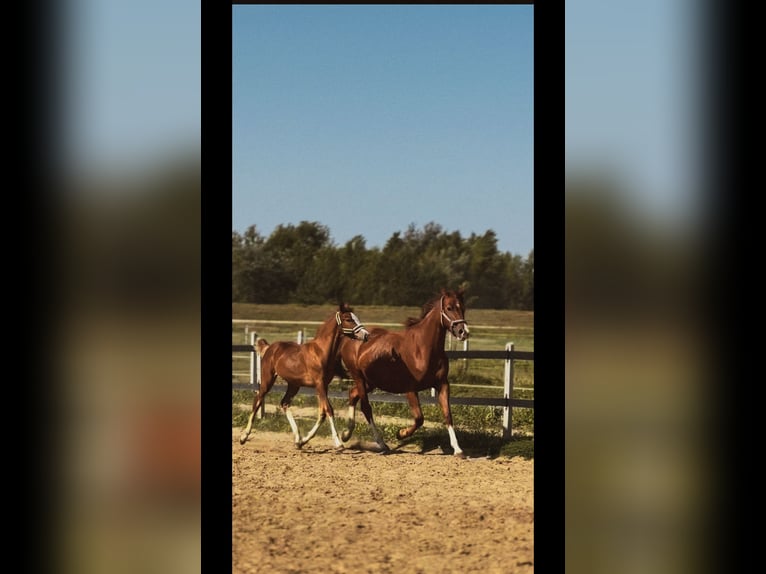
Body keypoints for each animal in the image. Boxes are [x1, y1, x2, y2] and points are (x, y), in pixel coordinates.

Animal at [240, 304, 372, 452]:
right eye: (348, 319)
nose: (366, 335)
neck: (321, 352)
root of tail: (270, 348)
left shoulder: (324, 385)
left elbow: (322, 412)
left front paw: (303, 441)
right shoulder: (319, 384)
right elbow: (329, 410)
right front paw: (338, 443)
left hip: (294, 384)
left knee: (284, 403)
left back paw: (297, 439)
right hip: (268, 379)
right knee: (258, 400)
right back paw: (244, 437)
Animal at [338, 292, 472, 460]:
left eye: (463, 307)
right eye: (449, 308)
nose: (463, 332)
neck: (423, 348)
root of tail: (350, 338)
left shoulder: (442, 384)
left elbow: (448, 415)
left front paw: (458, 450)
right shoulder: (410, 389)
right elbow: (419, 418)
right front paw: (400, 433)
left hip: (371, 382)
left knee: (352, 394)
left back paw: (345, 435)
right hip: (359, 378)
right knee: (366, 408)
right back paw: (380, 444)